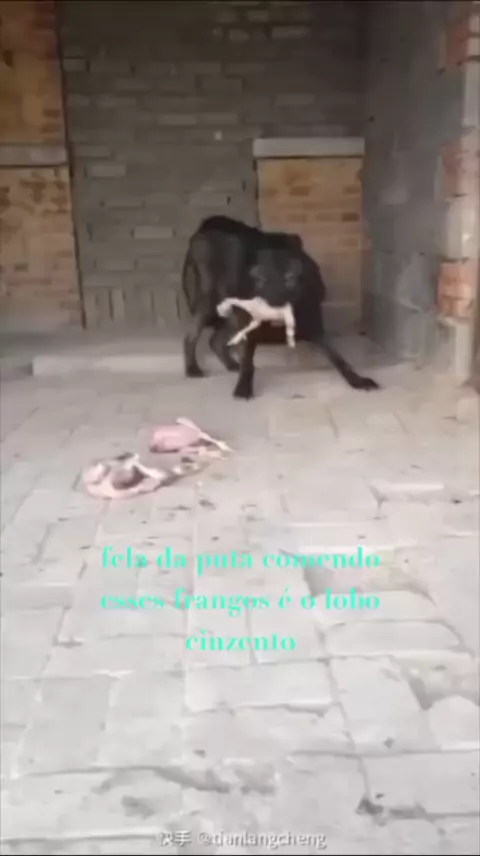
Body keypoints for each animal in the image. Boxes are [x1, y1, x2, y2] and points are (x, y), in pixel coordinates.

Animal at [177, 215, 379, 400]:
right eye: (260, 279)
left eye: (289, 278)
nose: (274, 309)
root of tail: (205, 225)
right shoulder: (250, 326)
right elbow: (248, 361)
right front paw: (243, 387)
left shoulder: (314, 326)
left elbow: (339, 359)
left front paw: (357, 380)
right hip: (209, 302)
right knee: (191, 336)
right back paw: (193, 368)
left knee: (215, 340)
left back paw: (231, 364)